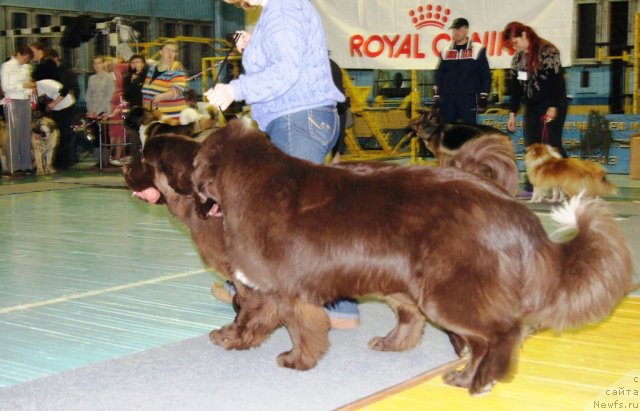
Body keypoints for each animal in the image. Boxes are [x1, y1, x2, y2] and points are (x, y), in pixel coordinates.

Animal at [192, 119, 632, 396]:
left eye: (196, 165)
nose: (194, 194)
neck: (250, 182)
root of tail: (510, 206)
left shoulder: (285, 288)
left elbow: (297, 325)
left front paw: (295, 360)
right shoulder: (267, 287)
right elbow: (253, 316)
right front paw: (230, 338)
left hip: (447, 289)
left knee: (500, 332)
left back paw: (476, 381)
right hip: (405, 281)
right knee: (425, 323)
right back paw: (419, 356)